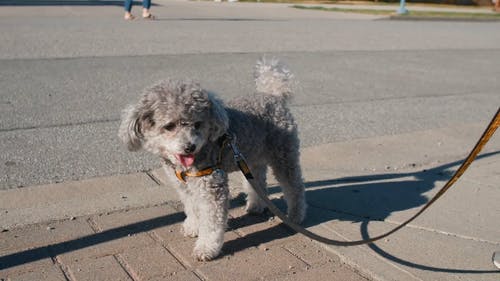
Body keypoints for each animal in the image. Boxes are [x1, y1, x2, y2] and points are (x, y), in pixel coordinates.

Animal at [119, 58, 306, 260]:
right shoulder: (185, 187)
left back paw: (295, 216)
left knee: (294, 186)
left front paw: (206, 248)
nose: (190, 147)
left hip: (283, 154)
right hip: (252, 157)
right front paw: (193, 227)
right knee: (258, 182)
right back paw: (256, 206)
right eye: (169, 126)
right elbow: (192, 207)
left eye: (197, 124)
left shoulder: (211, 184)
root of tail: (273, 96)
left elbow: (211, 221)